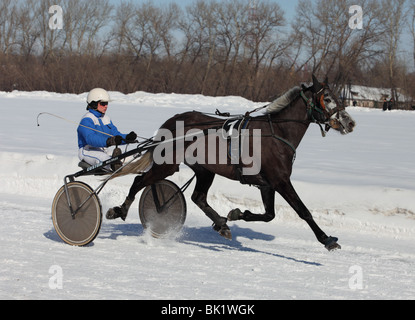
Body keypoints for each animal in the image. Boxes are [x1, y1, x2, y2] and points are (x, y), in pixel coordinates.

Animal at [106, 75, 354, 250]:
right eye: (328, 98)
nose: (350, 122)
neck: (277, 133)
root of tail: (172, 121)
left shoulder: (267, 184)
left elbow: (269, 215)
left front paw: (236, 215)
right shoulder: (281, 180)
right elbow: (303, 211)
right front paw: (327, 239)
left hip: (204, 170)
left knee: (198, 197)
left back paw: (221, 224)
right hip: (167, 164)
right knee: (139, 181)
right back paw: (119, 209)